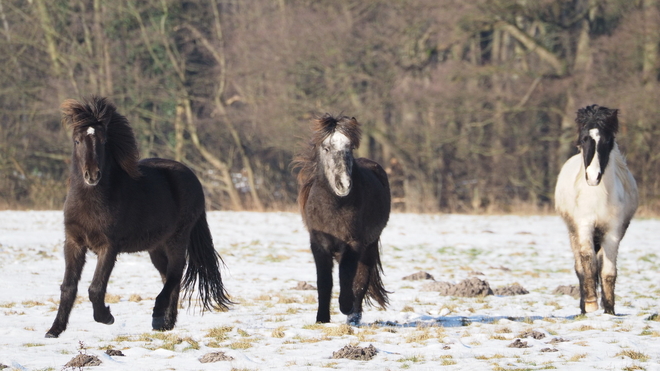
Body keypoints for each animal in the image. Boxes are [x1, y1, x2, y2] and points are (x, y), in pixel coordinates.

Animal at [45, 96, 228, 340]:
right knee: (170, 275)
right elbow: (68, 287)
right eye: (77, 141)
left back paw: (158, 314)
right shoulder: (73, 243)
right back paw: (165, 323)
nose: (92, 175)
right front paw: (54, 330)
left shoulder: (109, 247)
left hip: (177, 237)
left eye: (103, 141)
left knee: (176, 272)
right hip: (157, 246)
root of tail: (191, 176)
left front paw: (106, 317)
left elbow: (95, 288)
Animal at [292, 114, 390, 326]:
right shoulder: (319, 244)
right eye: (326, 148)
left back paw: (354, 316)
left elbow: (347, 275)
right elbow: (324, 281)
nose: (344, 184)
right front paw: (322, 318)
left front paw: (346, 307)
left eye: (350, 147)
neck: (335, 206)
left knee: (361, 279)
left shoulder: (353, 243)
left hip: (369, 246)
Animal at [556, 105, 636, 316]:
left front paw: (609, 311)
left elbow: (608, 272)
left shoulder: (613, 232)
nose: (593, 177)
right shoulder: (584, 226)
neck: (599, 196)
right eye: (584, 138)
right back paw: (583, 308)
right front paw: (591, 304)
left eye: (607, 140)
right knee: (580, 267)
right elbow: (588, 265)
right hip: (572, 232)